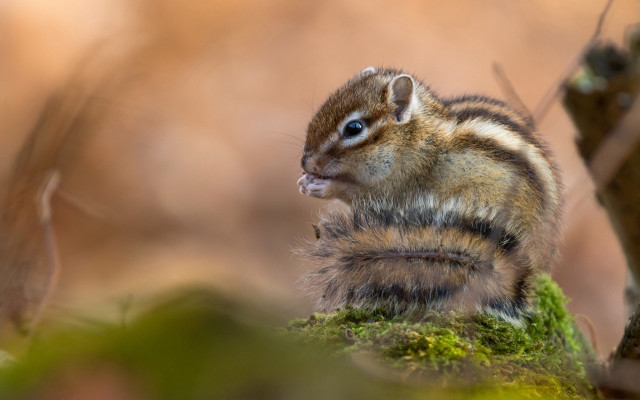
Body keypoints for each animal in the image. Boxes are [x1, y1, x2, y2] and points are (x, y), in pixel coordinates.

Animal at [296, 67, 563, 324]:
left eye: (354, 128)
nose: (306, 162)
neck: (414, 137)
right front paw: (305, 180)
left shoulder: (396, 184)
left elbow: (357, 191)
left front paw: (320, 186)